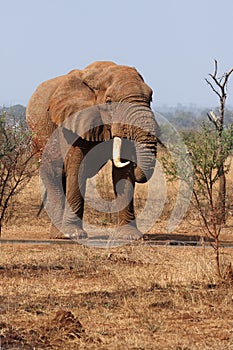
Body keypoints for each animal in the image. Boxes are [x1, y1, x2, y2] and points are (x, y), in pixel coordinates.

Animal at [26, 60, 158, 241]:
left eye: (150, 99)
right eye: (109, 102)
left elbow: (121, 173)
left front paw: (130, 236)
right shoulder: (72, 121)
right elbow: (77, 167)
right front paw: (74, 234)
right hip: (39, 140)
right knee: (54, 176)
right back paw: (59, 235)